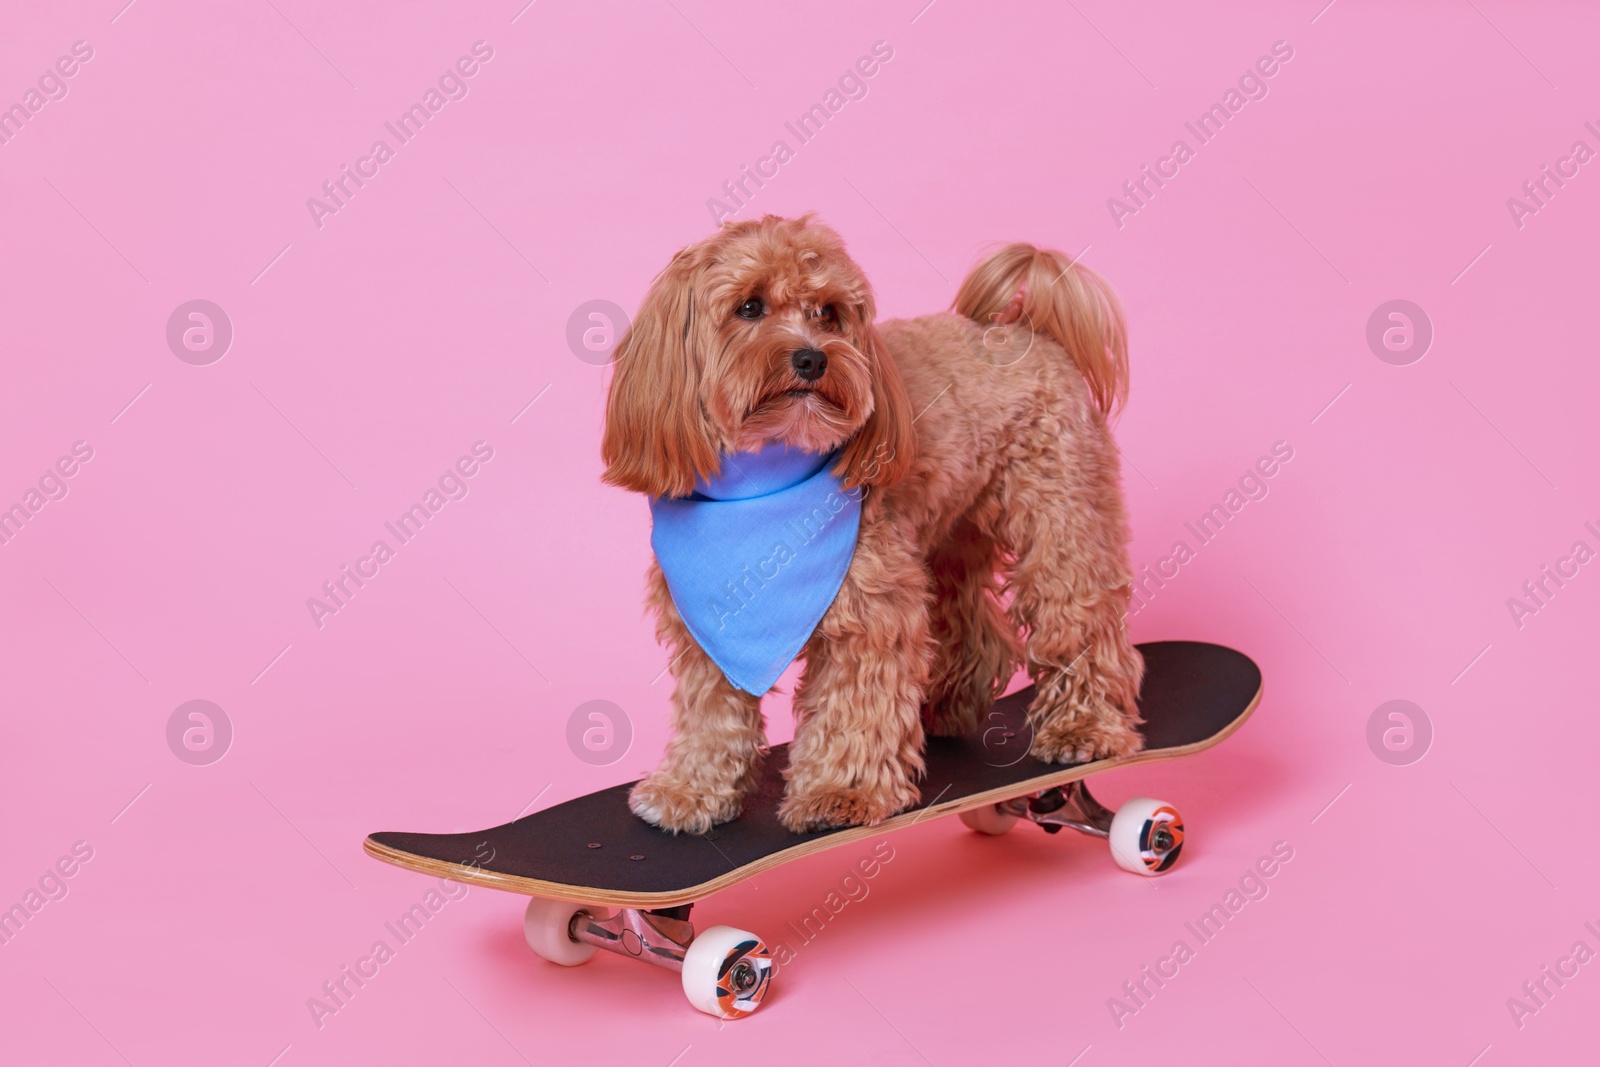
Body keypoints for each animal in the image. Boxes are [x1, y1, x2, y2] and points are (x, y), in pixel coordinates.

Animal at [598, 214, 1139, 831]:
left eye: (829, 313)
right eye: (750, 307)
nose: (813, 359)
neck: (763, 476)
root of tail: (1029, 331)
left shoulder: (870, 608)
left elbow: (854, 703)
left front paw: (841, 792)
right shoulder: (709, 624)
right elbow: (710, 709)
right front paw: (691, 788)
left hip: (1062, 520)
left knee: (1077, 617)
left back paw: (1084, 725)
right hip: (948, 535)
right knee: (971, 621)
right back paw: (949, 706)